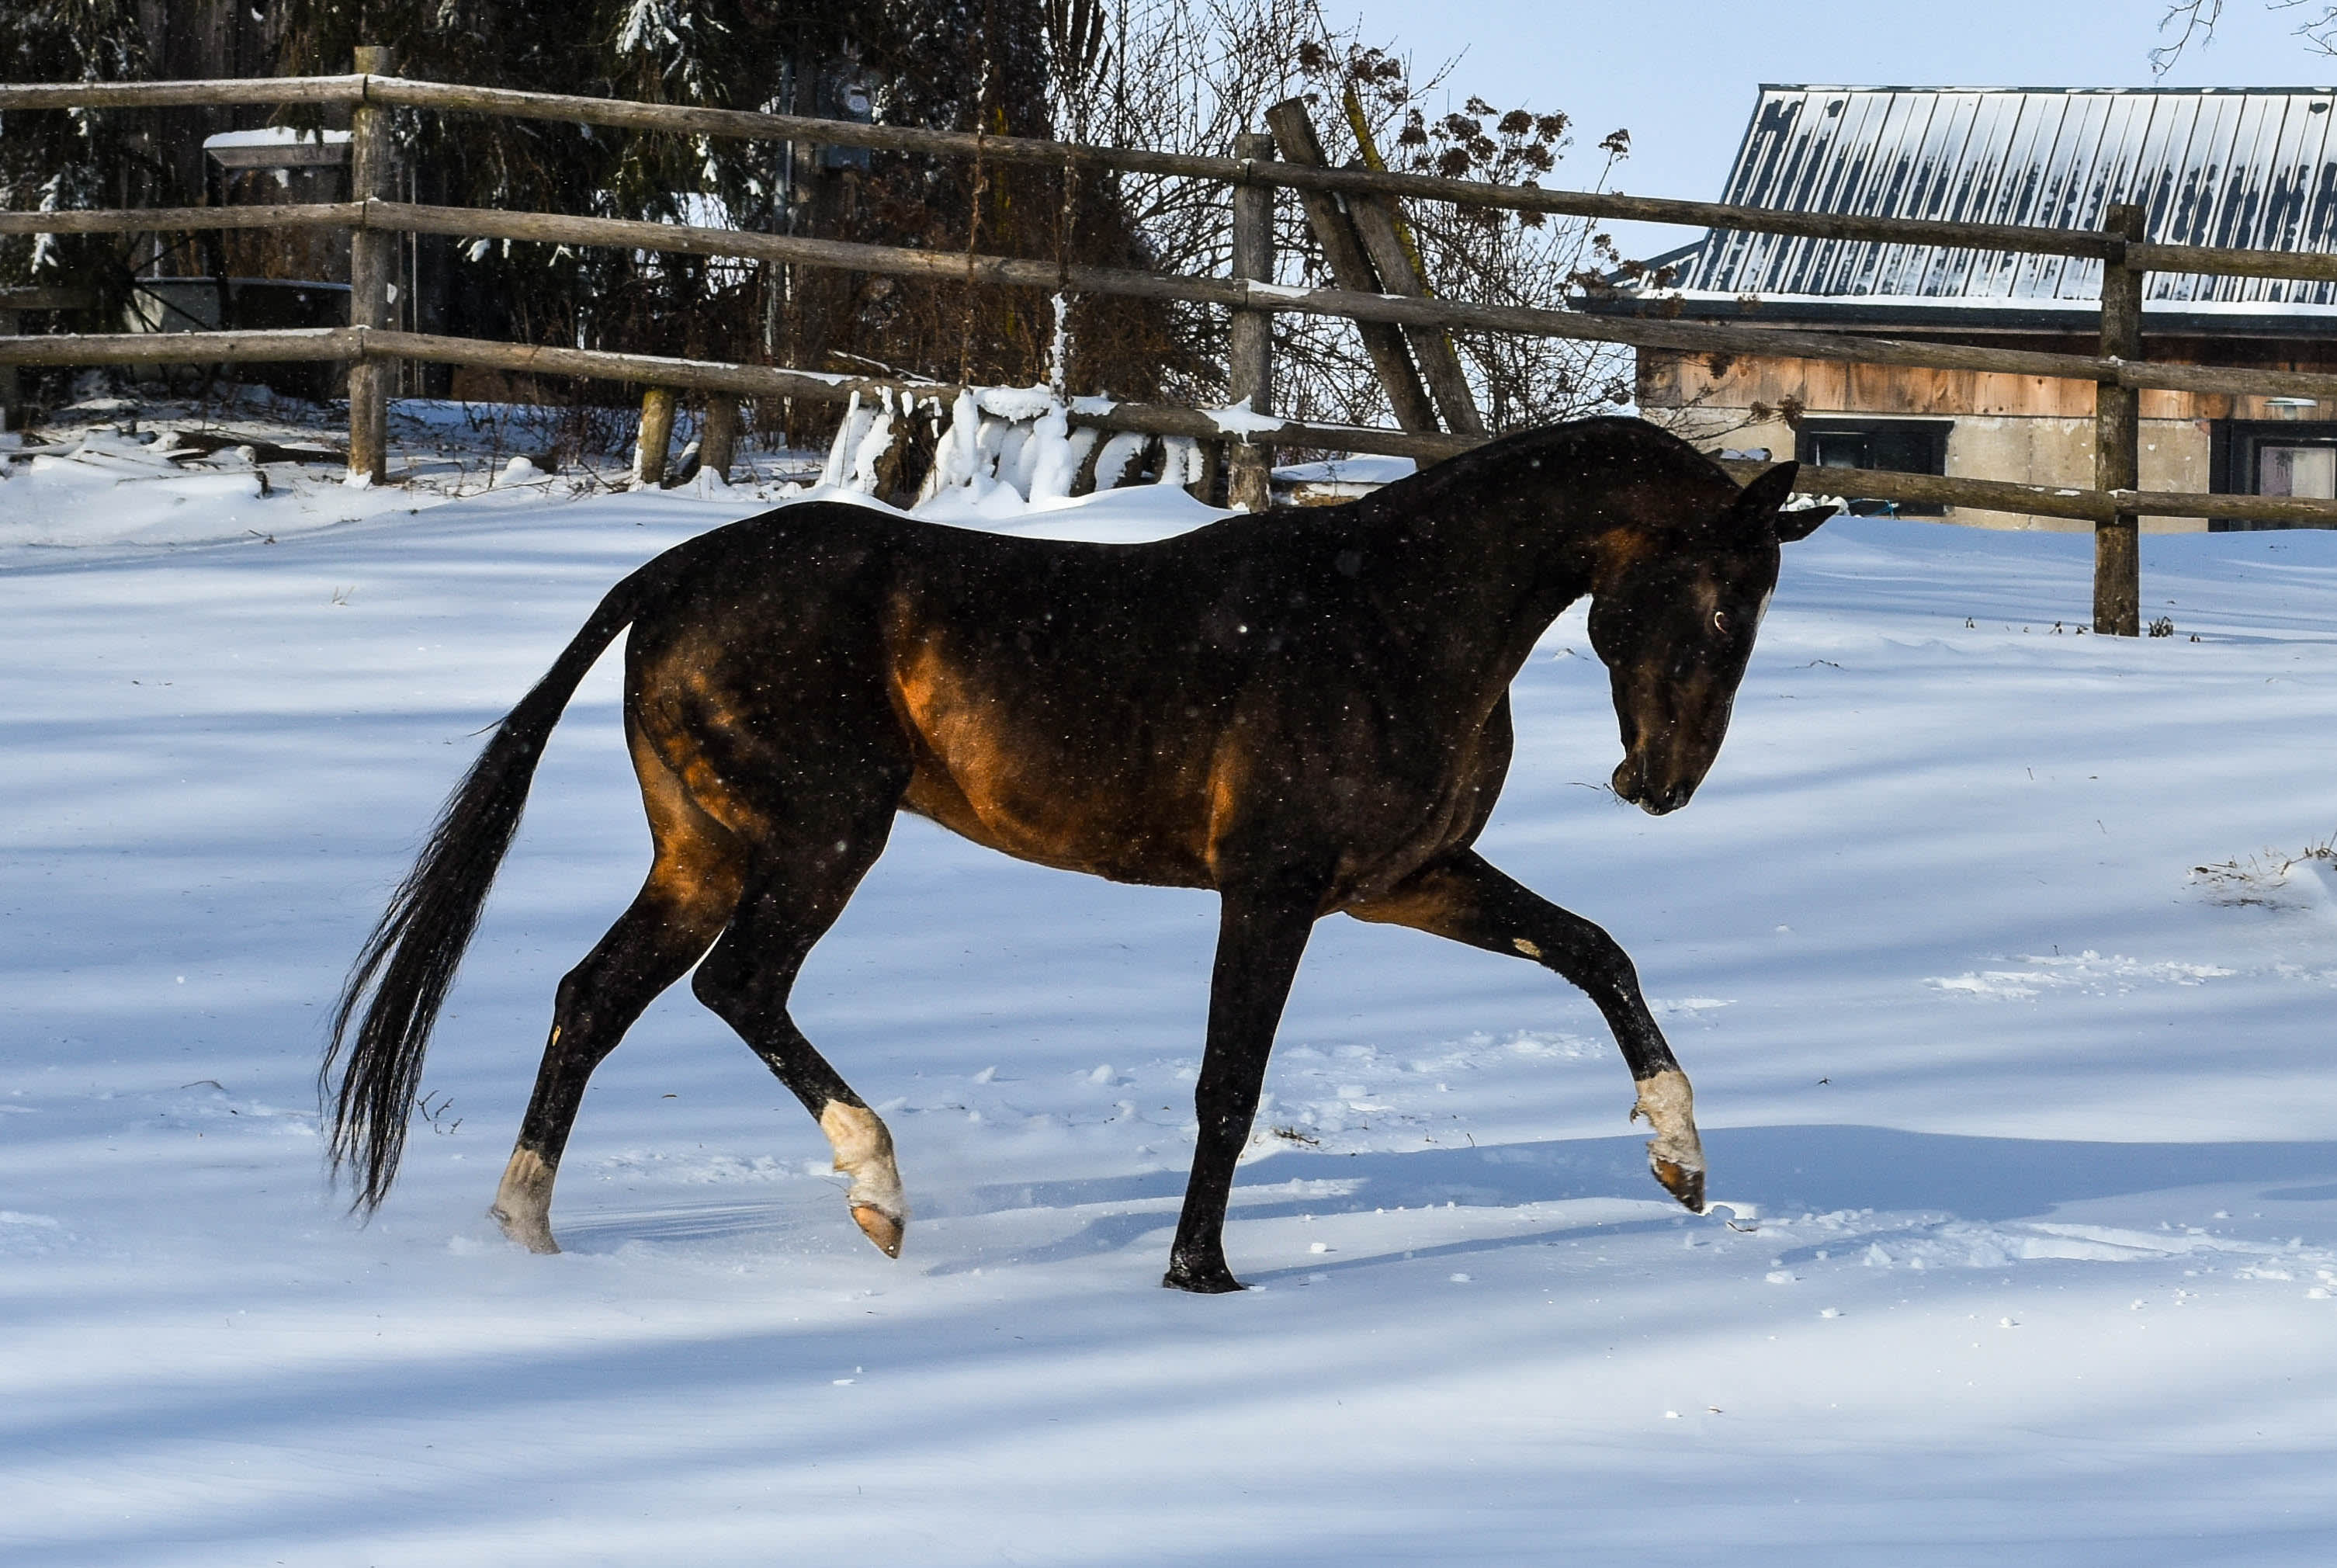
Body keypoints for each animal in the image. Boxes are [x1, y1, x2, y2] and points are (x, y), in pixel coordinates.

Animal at [325, 416, 1831, 1293]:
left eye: (1756, 611)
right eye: (1712, 604)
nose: (1660, 786)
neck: (1393, 613)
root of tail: (672, 577)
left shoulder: (1403, 882)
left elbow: (1595, 952)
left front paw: (1681, 1162)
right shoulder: (1274, 891)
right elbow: (1228, 1085)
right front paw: (1198, 1274)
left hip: (703, 850)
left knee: (595, 998)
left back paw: (529, 1236)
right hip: (818, 839)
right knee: (733, 989)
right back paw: (876, 1193)